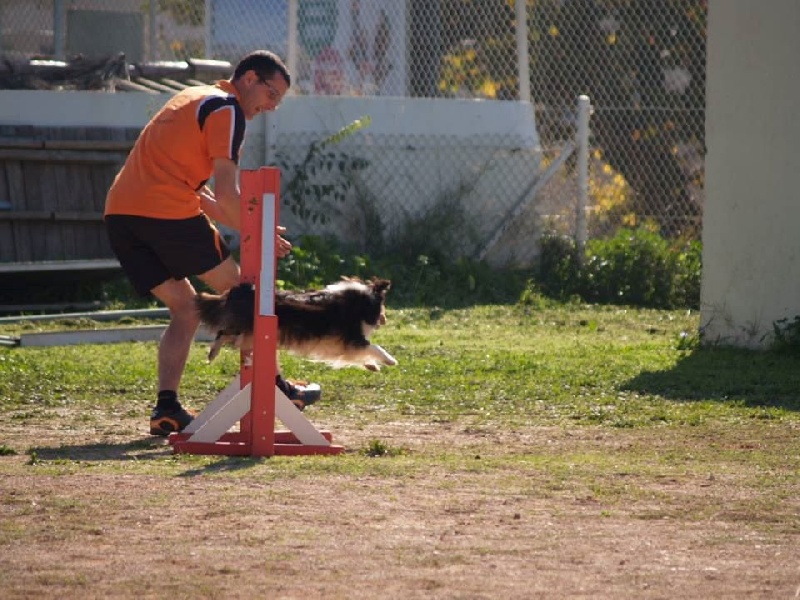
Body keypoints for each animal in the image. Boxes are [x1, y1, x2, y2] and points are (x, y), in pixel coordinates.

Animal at [191, 276, 396, 370]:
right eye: (383, 307)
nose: (384, 320)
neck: (362, 301)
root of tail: (238, 291)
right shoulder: (352, 338)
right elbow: (374, 347)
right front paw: (390, 360)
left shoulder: (335, 343)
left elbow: (358, 354)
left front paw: (371, 366)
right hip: (244, 326)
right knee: (222, 333)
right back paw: (212, 354)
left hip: (247, 331)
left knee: (227, 336)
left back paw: (212, 354)